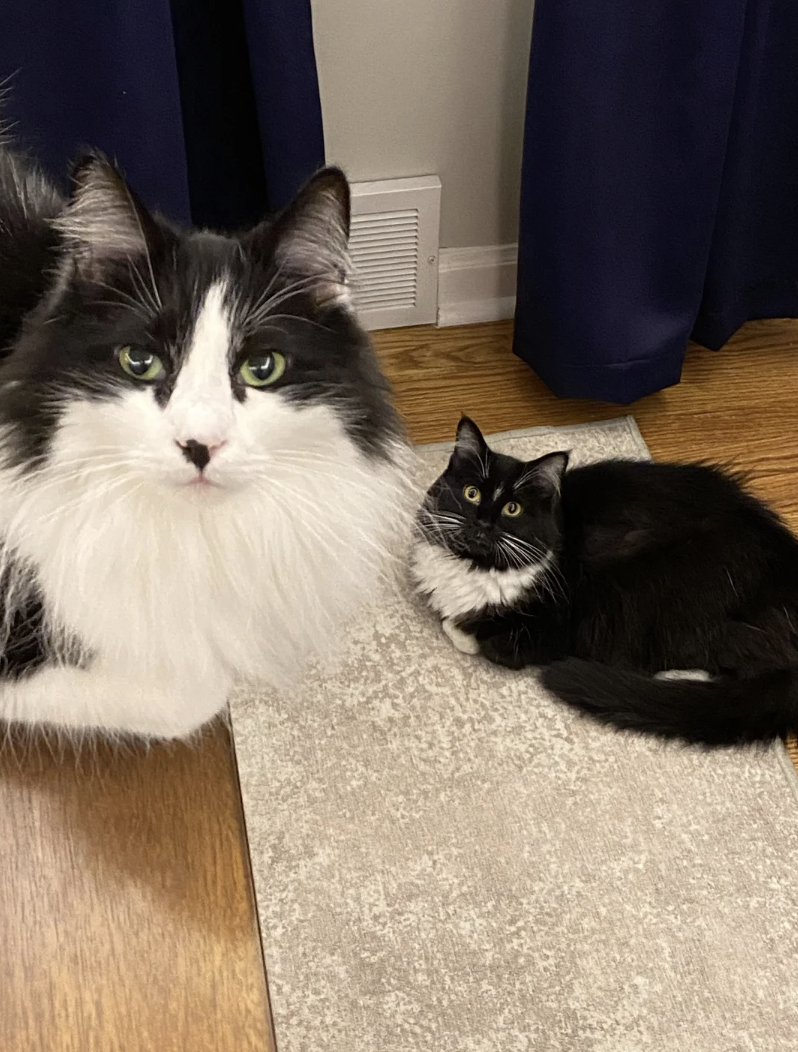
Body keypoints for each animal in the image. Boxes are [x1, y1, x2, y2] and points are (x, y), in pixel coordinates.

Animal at [412, 416, 798, 749]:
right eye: (472, 493)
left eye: (512, 509)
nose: (483, 523)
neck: (479, 565)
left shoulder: (553, 627)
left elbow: (483, 638)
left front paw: (463, 630)